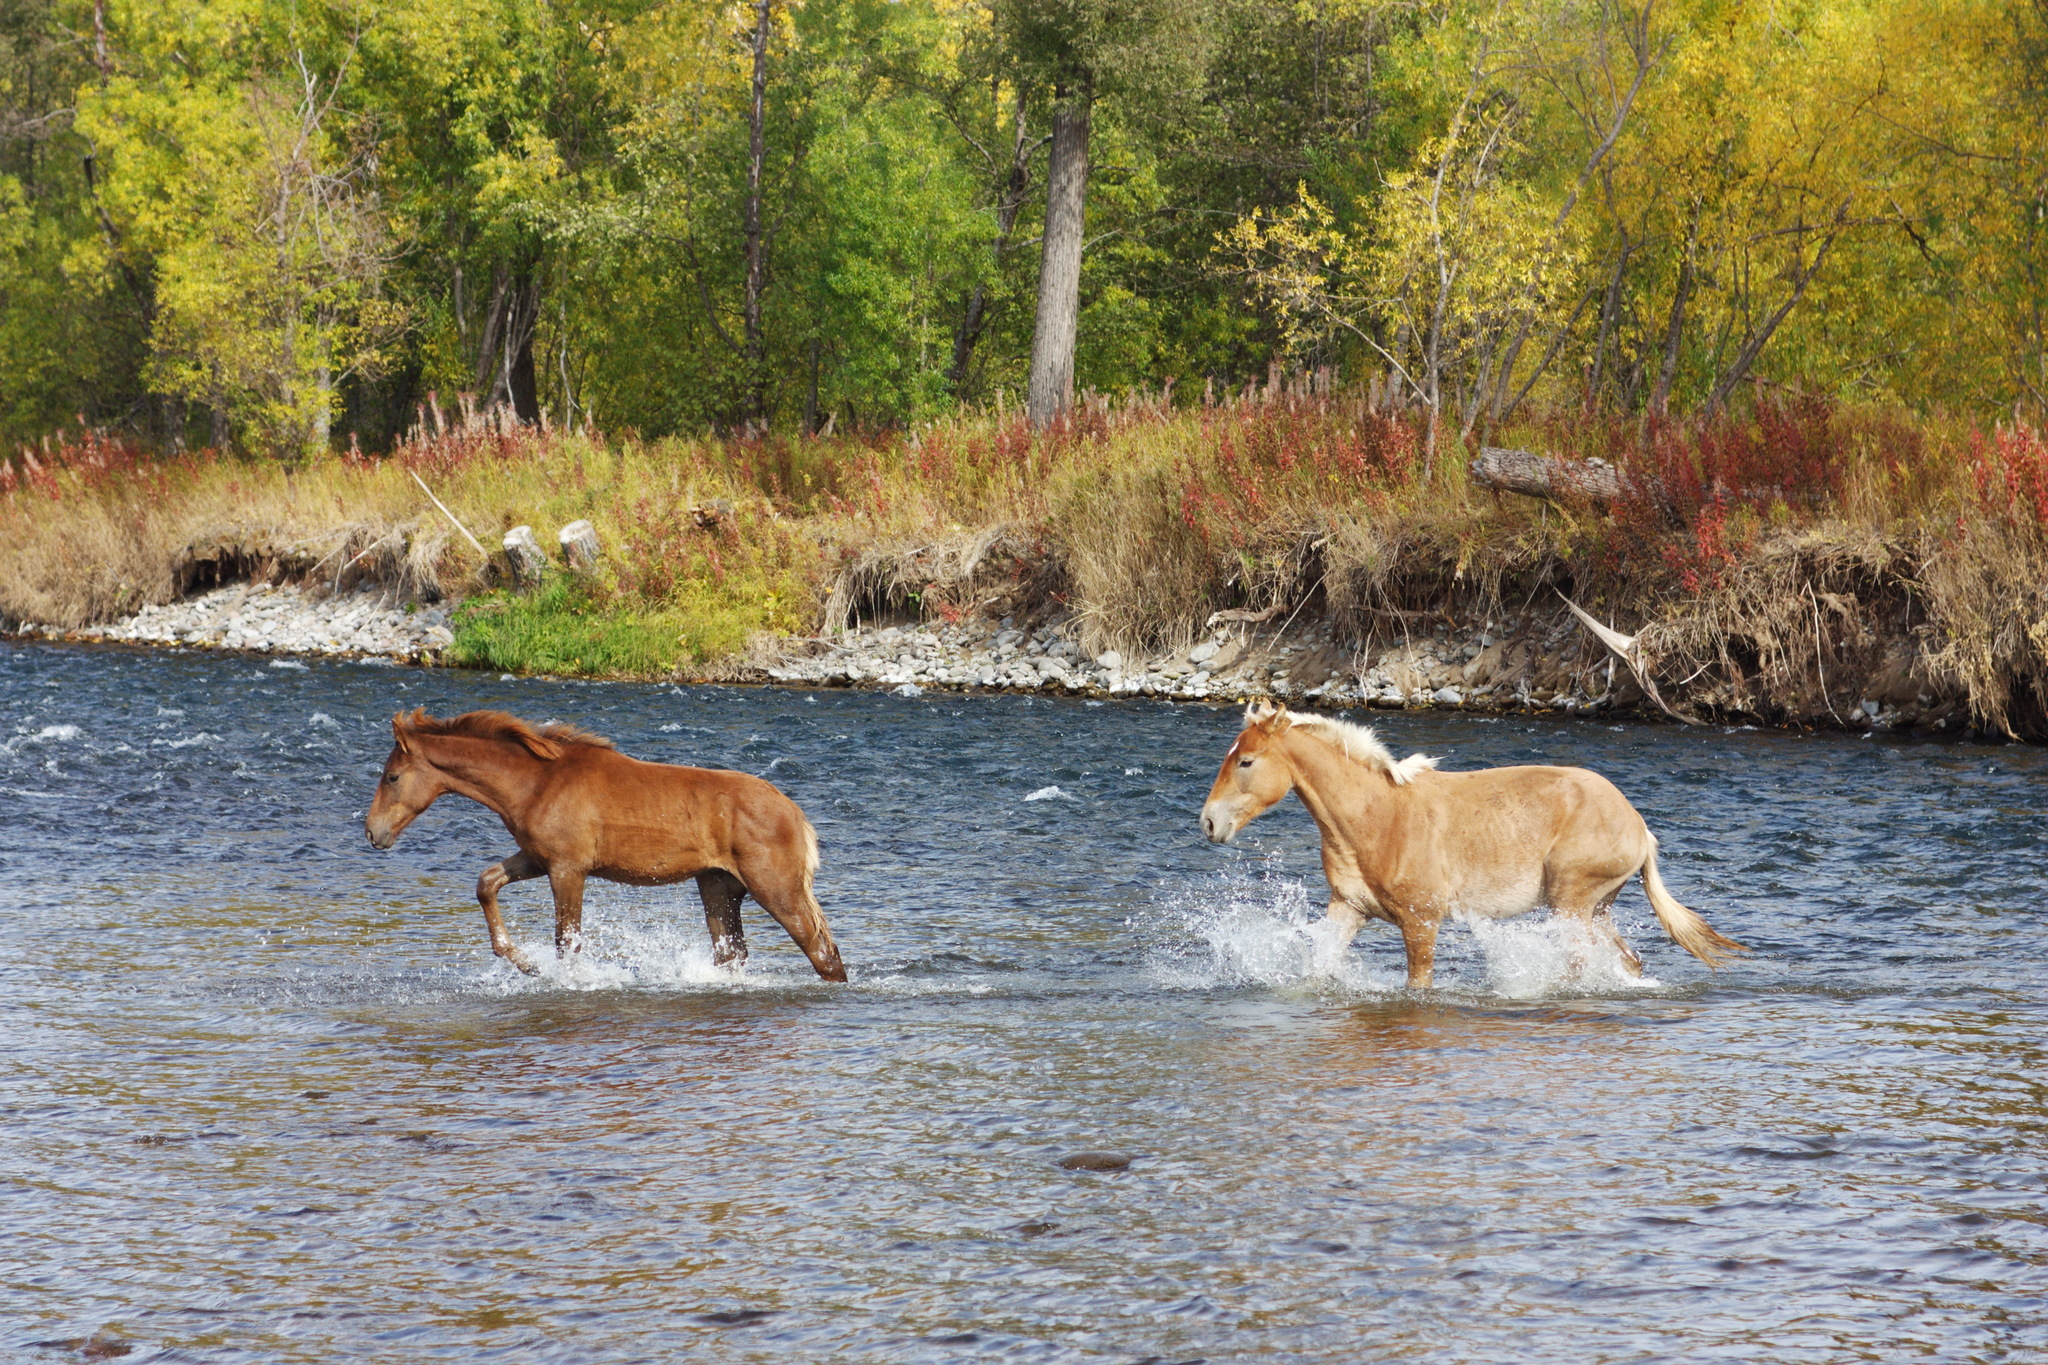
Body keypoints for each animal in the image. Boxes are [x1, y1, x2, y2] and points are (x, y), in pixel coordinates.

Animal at [364, 712, 843, 986]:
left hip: (775, 887)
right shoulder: (538, 858)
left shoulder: (567, 867)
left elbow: (567, 941)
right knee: (732, 955)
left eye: (392, 776)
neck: (530, 786)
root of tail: (797, 816)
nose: (373, 833)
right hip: (718, 885)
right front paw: (525, 963)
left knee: (823, 953)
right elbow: (486, 884)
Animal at [1196, 712, 1744, 986]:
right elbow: (1319, 967)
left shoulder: (1420, 922)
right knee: (1626, 963)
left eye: (1246, 761)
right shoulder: (1348, 908)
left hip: (1571, 905)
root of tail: (1638, 825)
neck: (1377, 817)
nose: (1208, 822)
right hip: (1597, 909)